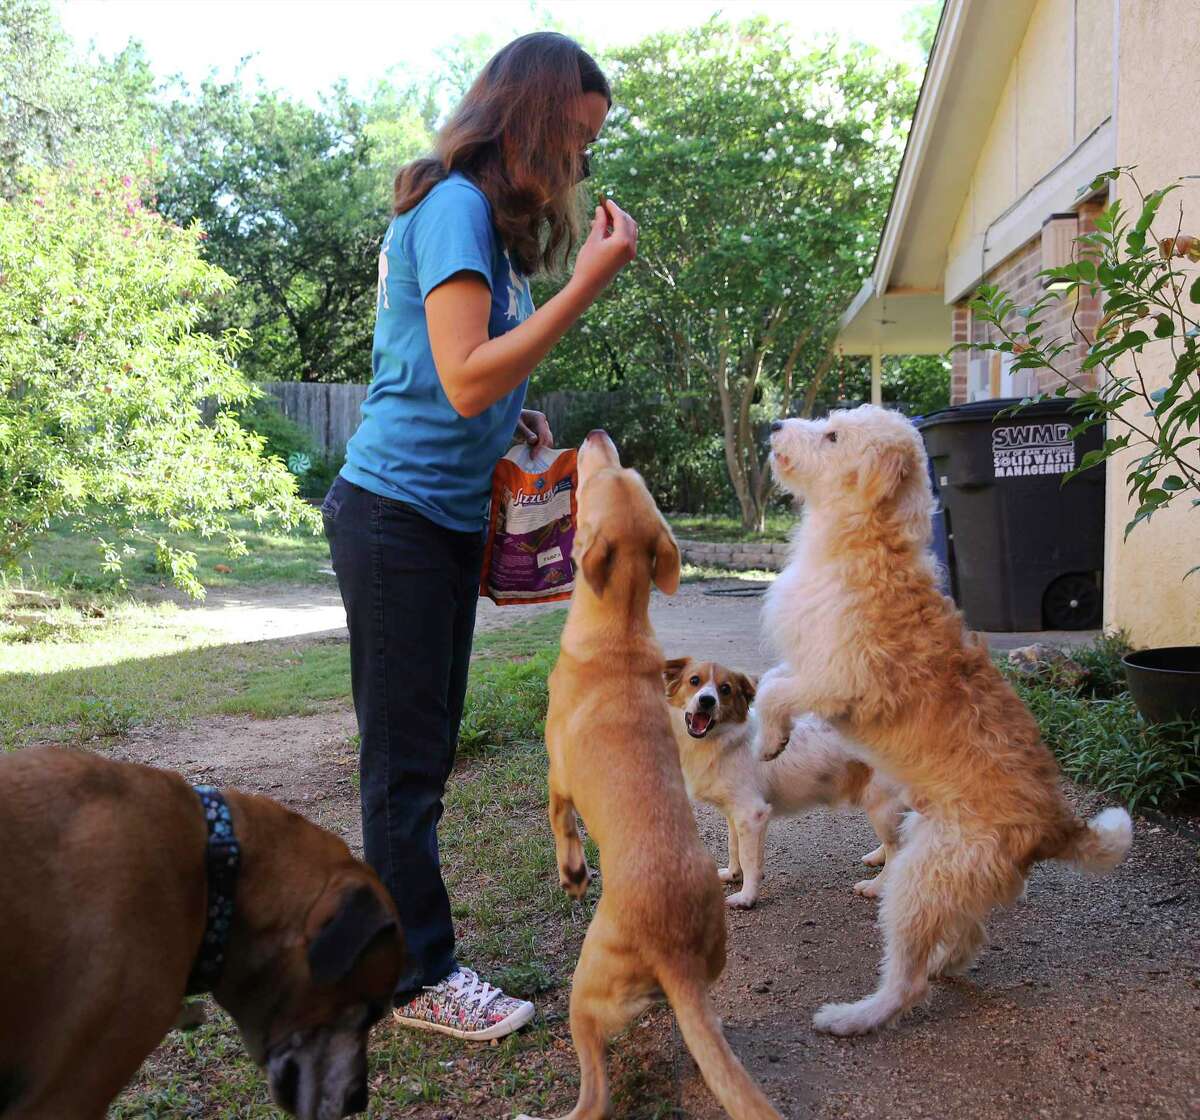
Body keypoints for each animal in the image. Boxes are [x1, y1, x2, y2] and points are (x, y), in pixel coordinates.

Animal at [518, 432, 782, 1118]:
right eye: (631, 474)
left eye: (603, 477)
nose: (596, 437)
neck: (618, 627)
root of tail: (676, 958)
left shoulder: (557, 775)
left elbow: (560, 824)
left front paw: (573, 874)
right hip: (707, 972)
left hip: (585, 993)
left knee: (594, 1091)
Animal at [662, 657, 902, 907]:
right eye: (694, 681)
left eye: (725, 689)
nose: (707, 700)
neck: (724, 740)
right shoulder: (735, 814)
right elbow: (733, 847)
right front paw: (733, 874)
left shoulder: (752, 814)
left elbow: (748, 859)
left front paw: (746, 897)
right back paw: (877, 857)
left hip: (881, 807)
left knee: (898, 850)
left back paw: (876, 886)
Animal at [753, 405, 1128, 1037]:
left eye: (832, 435)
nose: (774, 426)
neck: (868, 540)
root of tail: (1056, 824)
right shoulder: (806, 664)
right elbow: (769, 682)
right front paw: (768, 736)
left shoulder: (837, 681)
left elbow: (774, 690)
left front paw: (770, 742)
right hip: (940, 867)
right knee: (966, 937)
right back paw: (945, 961)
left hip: (920, 878)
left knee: (908, 981)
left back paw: (855, 1015)